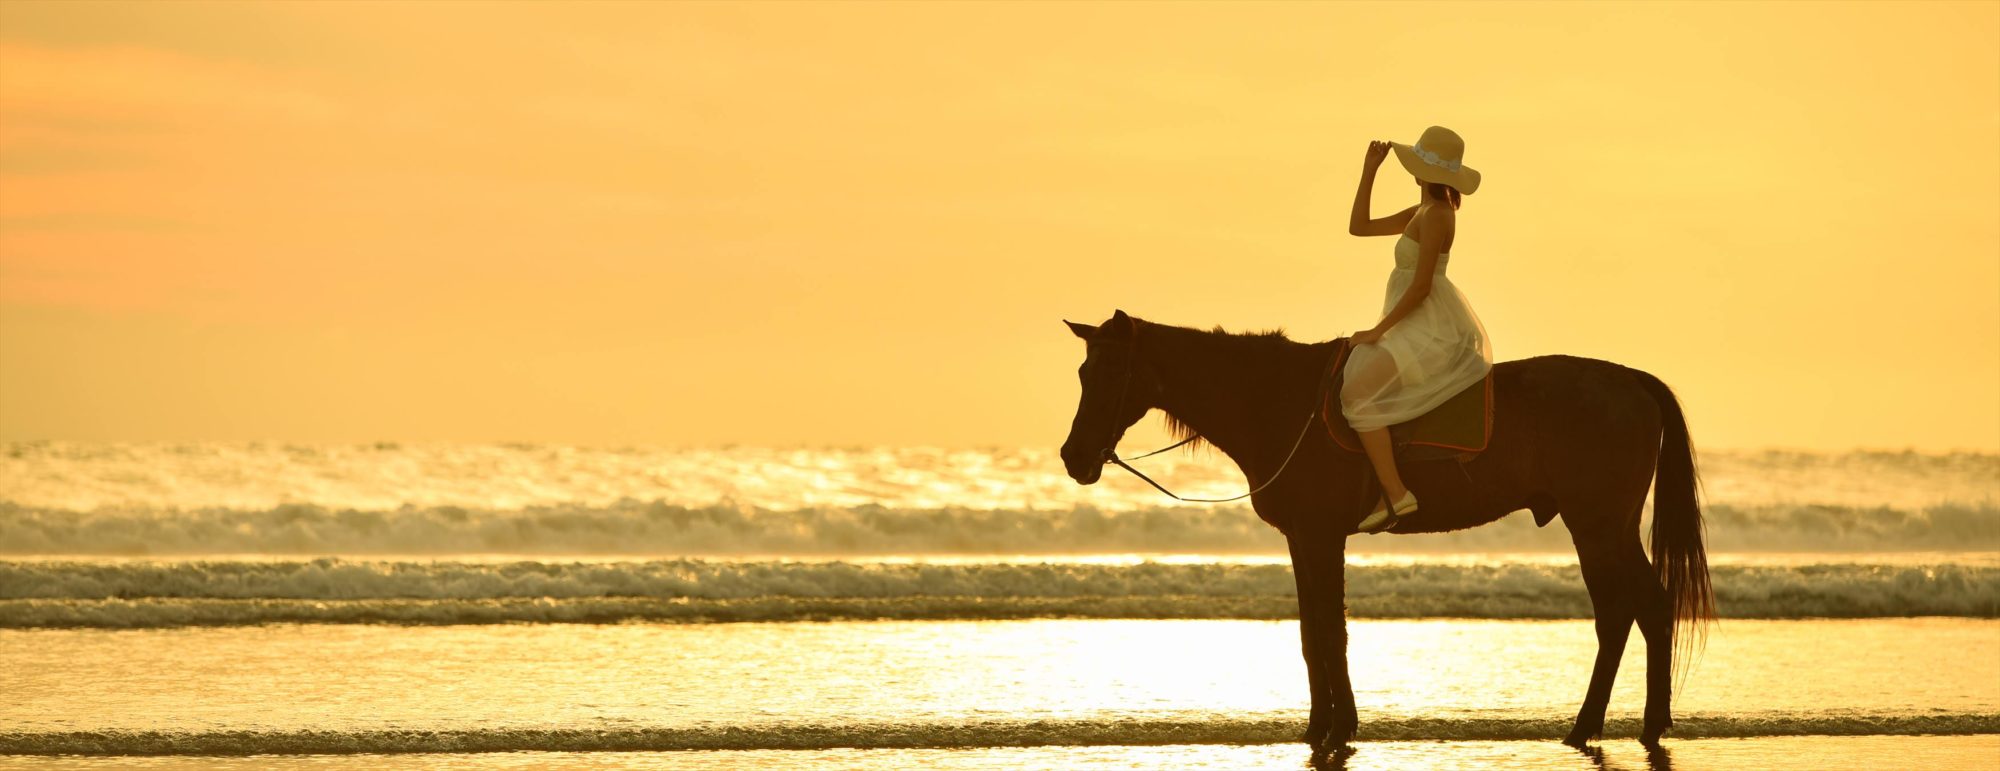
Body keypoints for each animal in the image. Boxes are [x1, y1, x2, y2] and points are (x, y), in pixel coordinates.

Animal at [1064, 309, 1720, 759]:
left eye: (1109, 372)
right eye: (1082, 371)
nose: (1073, 457)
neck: (1276, 401)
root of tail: (1631, 381)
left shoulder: (1321, 536)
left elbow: (1330, 634)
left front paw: (1337, 728)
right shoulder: (1303, 539)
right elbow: (1313, 634)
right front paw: (1321, 726)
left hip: (1598, 524)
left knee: (1632, 611)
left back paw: (1614, 726)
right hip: (1603, 526)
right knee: (1635, 610)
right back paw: (1620, 725)